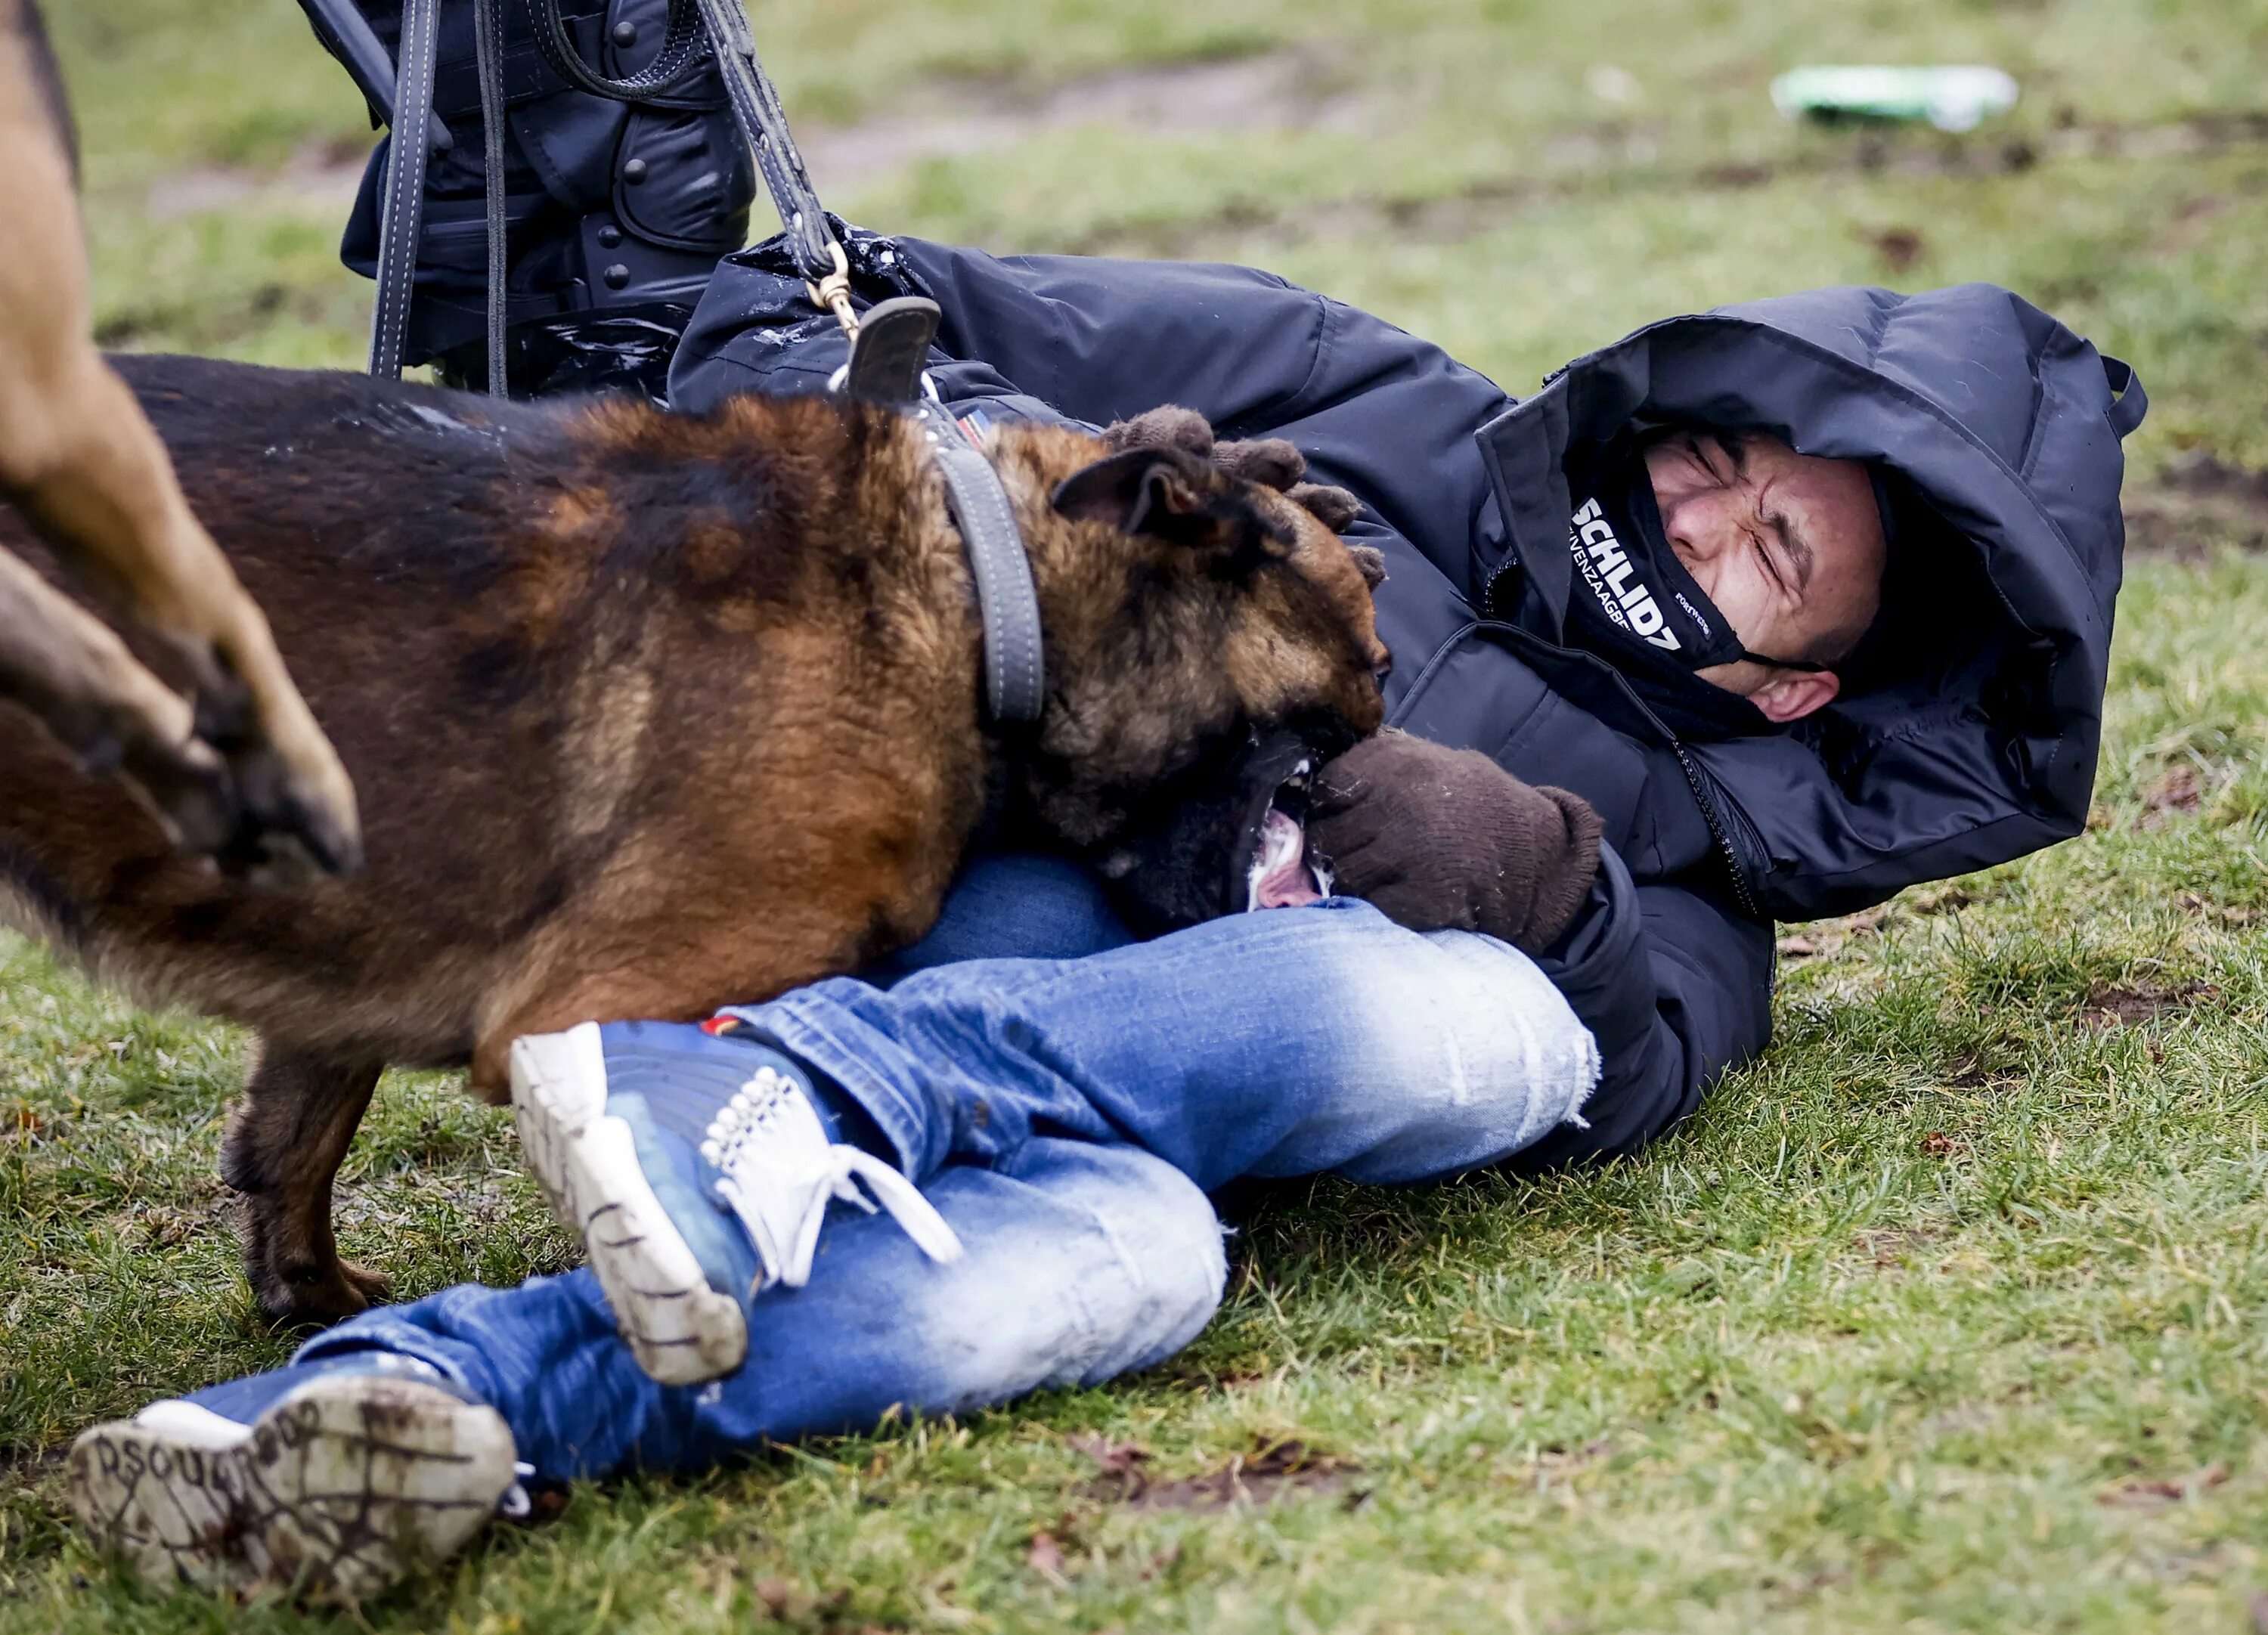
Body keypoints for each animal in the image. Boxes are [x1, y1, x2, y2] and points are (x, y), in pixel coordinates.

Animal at [0, 358, 1379, 1324]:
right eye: (1371, 658)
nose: (1366, 776)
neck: (981, 593)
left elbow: (295, 1132)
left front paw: (312, 1299)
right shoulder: (608, 994)